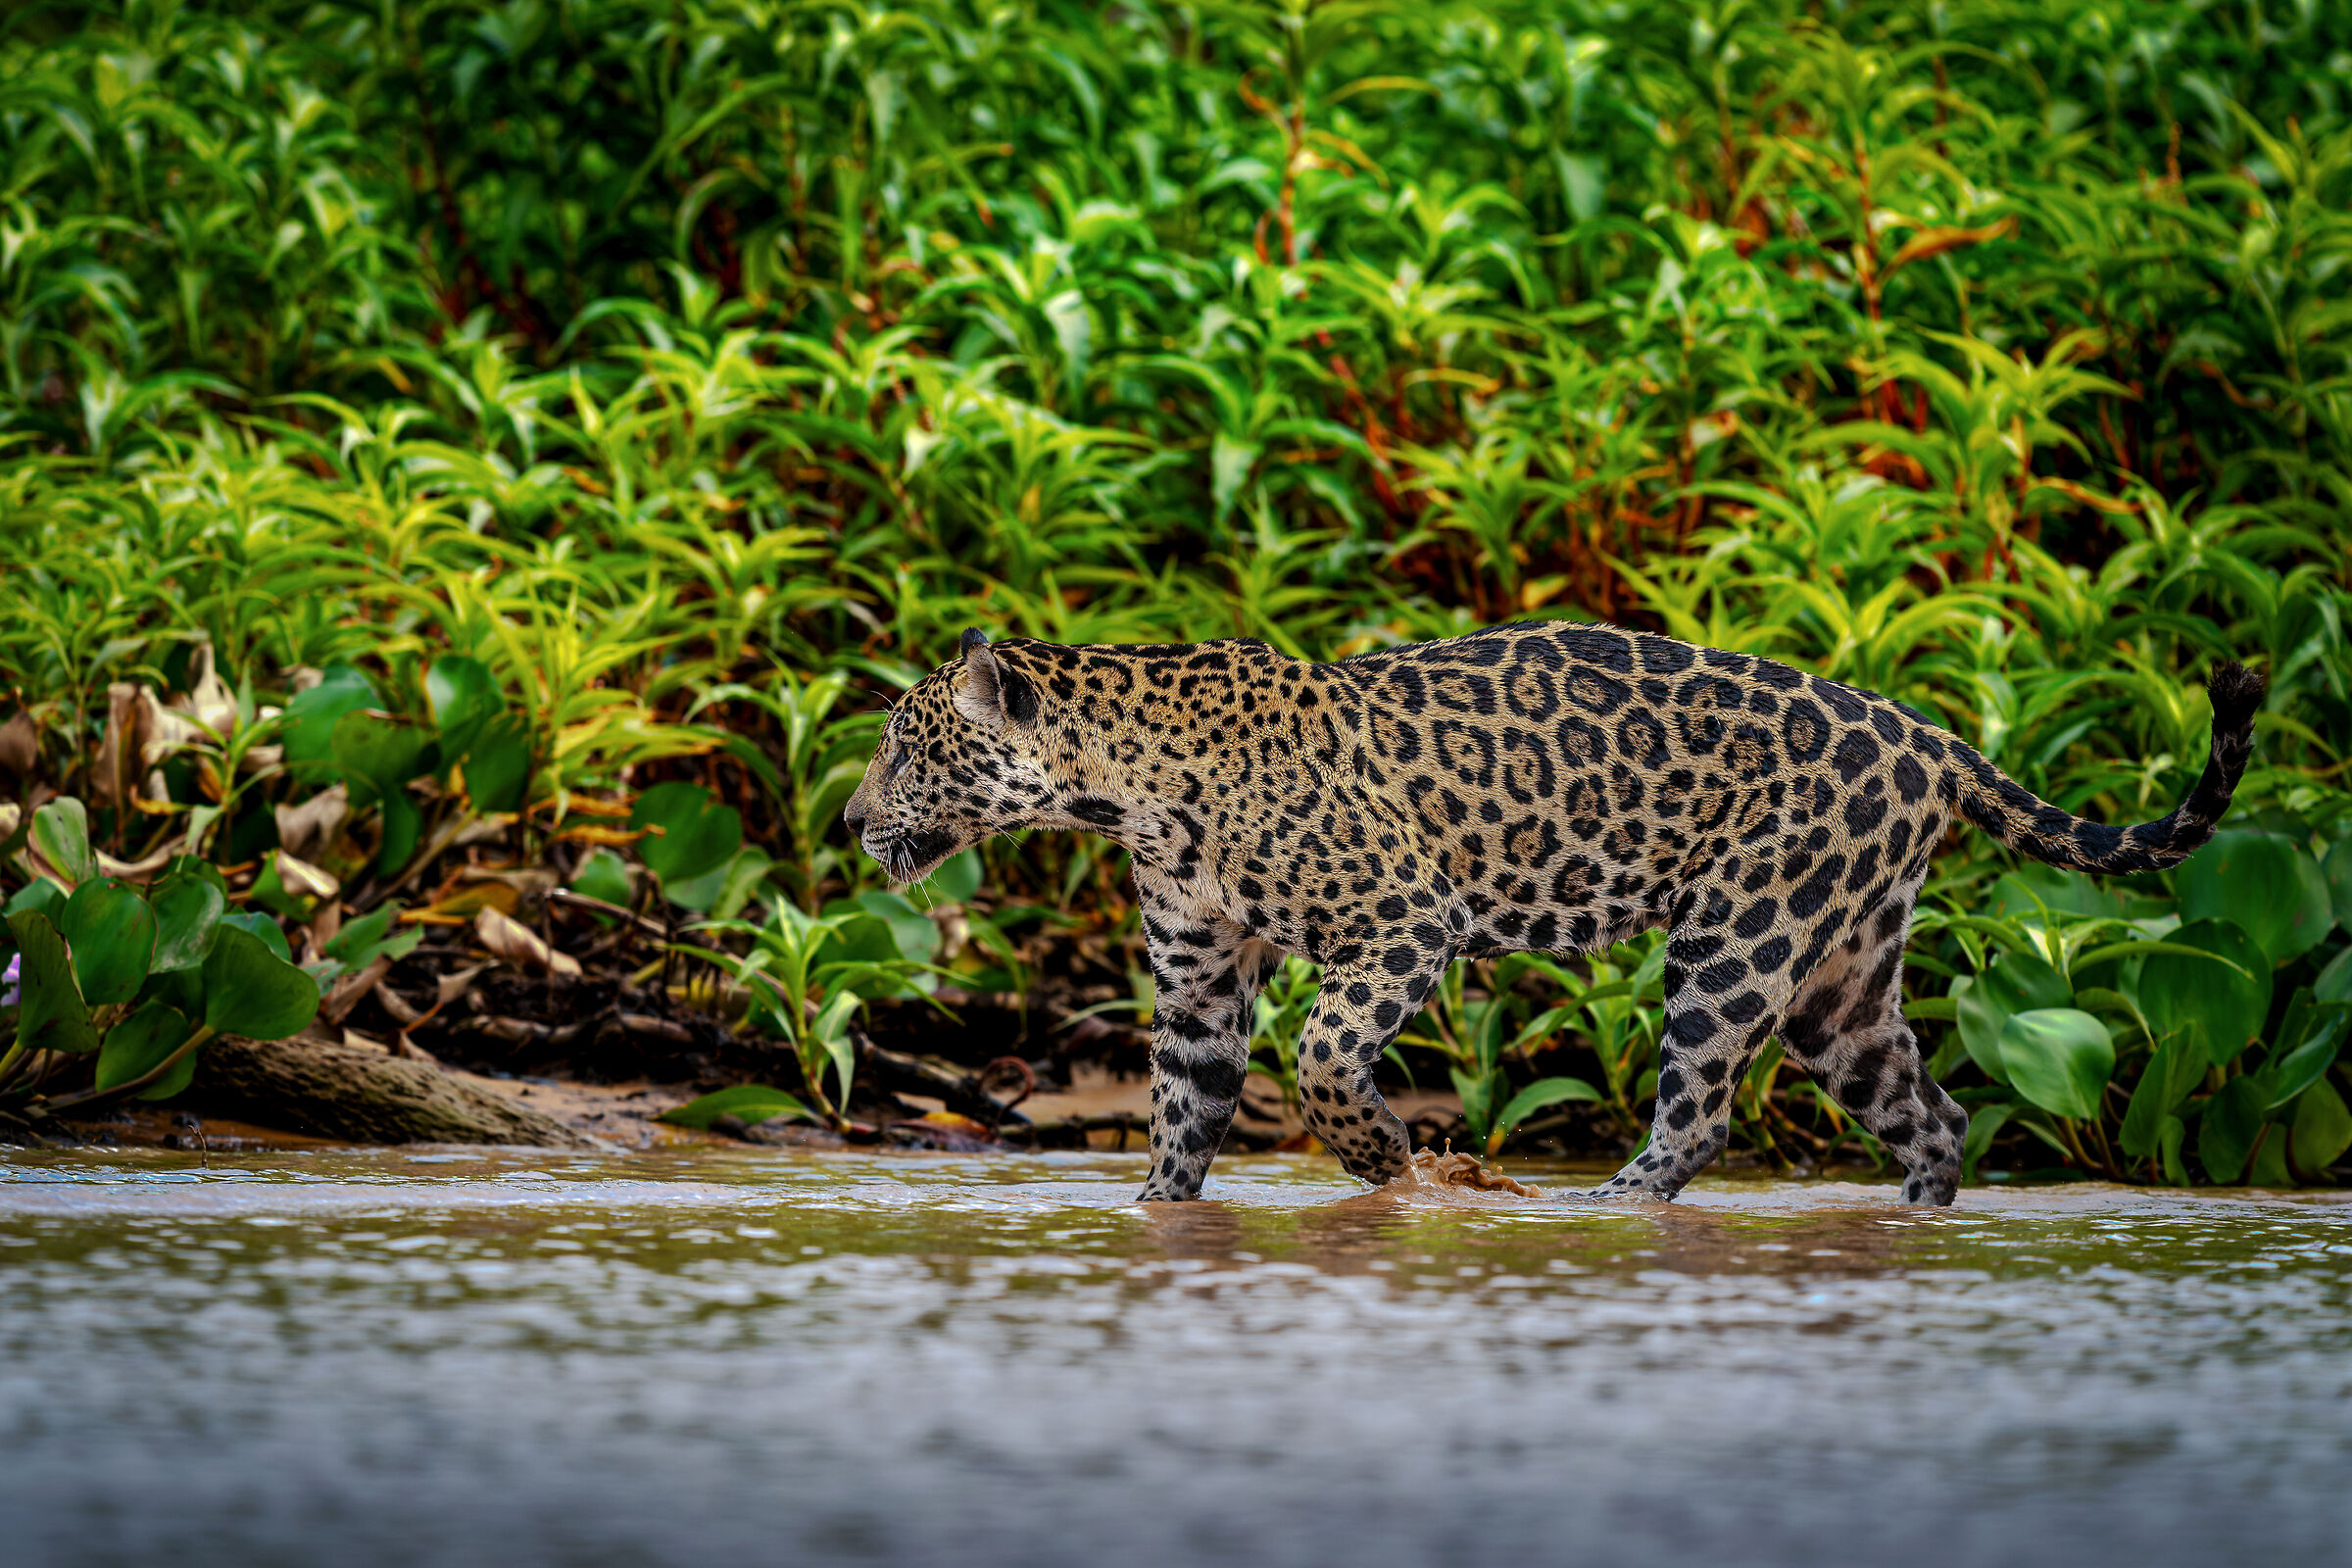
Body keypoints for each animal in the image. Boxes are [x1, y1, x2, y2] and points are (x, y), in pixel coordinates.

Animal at [841, 623, 2262, 1206]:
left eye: (905, 749)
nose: (851, 822)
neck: (1121, 788)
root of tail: (1928, 732)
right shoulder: (1197, 970)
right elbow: (1185, 1113)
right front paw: (1157, 1213)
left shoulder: (1402, 918)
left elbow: (1322, 1054)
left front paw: (1386, 1163)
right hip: (1842, 980)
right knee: (1935, 1111)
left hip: (1739, 937)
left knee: (1700, 1113)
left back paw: (1596, 1207)